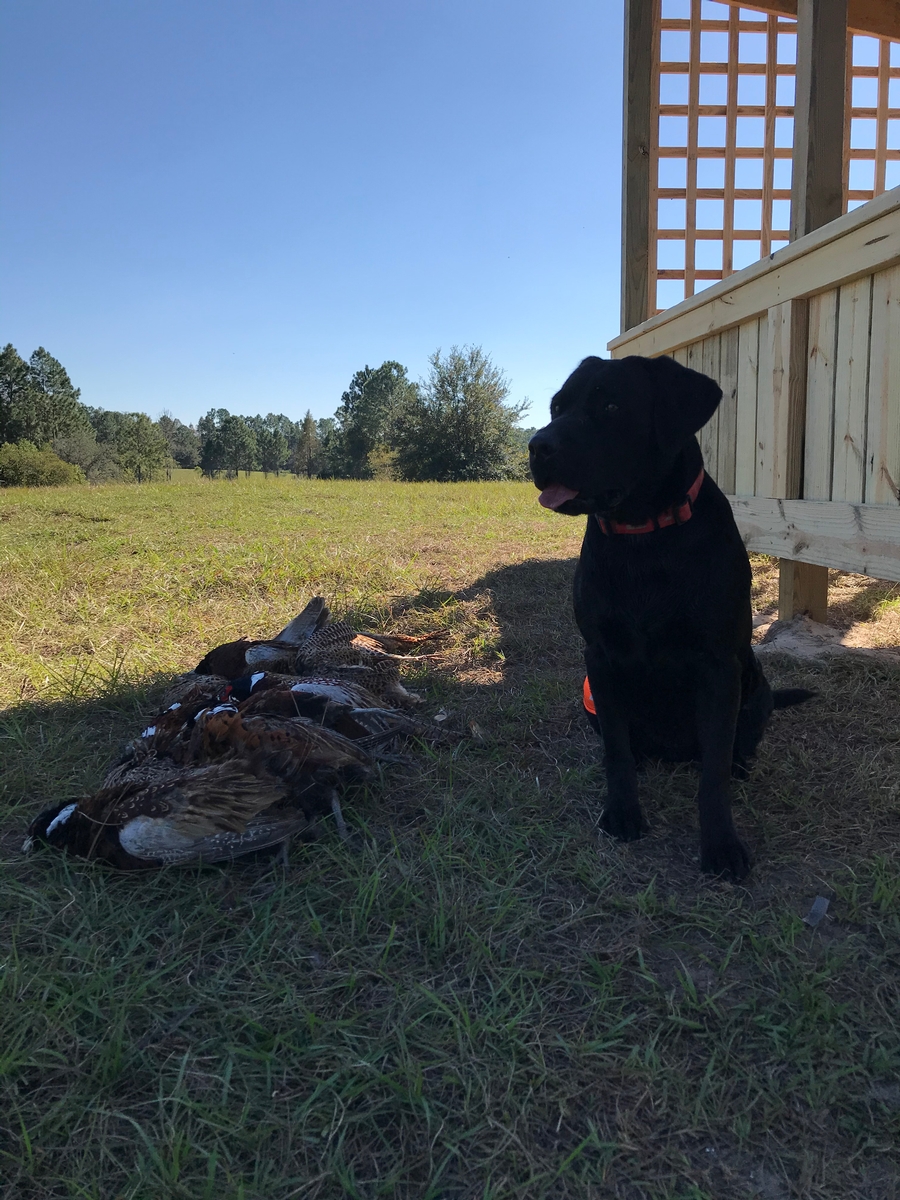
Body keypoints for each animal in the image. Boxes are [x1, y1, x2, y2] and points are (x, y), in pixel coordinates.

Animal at [532, 350, 816, 878]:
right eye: (558, 407)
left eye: (610, 406)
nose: (537, 446)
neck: (646, 538)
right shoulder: (599, 657)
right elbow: (617, 751)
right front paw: (622, 812)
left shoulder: (718, 665)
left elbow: (714, 774)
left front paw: (721, 844)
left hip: (754, 685)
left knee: (737, 745)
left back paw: (741, 765)